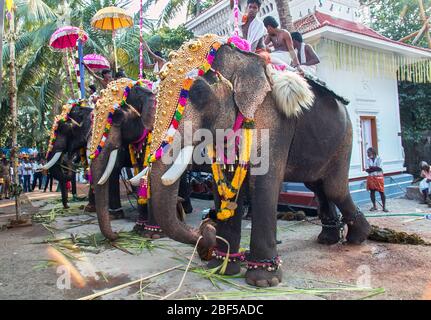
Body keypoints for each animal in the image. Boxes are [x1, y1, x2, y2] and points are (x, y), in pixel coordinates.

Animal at [130, 35, 372, 288]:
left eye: (198, 92)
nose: (207, 228)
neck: (241, 57)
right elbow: (225, 187)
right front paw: (221, 268)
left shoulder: (273, 120)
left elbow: (264, 183)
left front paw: (264, 280)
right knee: (317, 186)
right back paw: (327, 239)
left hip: (345, 139)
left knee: (334, 187)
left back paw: (358, 238)